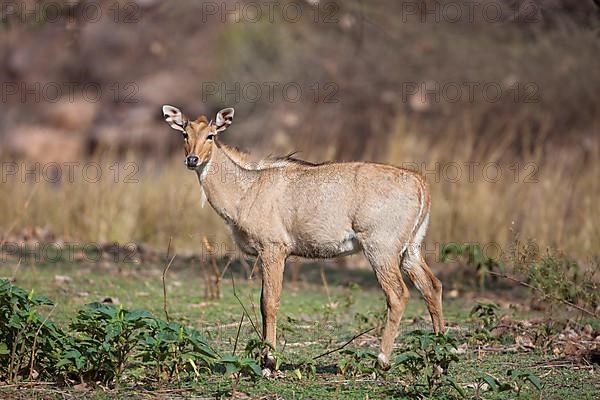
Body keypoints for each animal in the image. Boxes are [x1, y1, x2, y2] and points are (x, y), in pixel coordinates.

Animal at [162, 104, 442, 370]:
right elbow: (264, 302)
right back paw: (439, 360)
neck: (246, 188)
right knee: (432, 286)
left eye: (211, 135)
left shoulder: (273, 249)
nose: (192, 159)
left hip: (380, 249)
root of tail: (420, 183)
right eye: (184, 134)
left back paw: (382, 361)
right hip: (410, 250)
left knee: (397, 294)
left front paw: (269, 363)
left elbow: (269, 302)